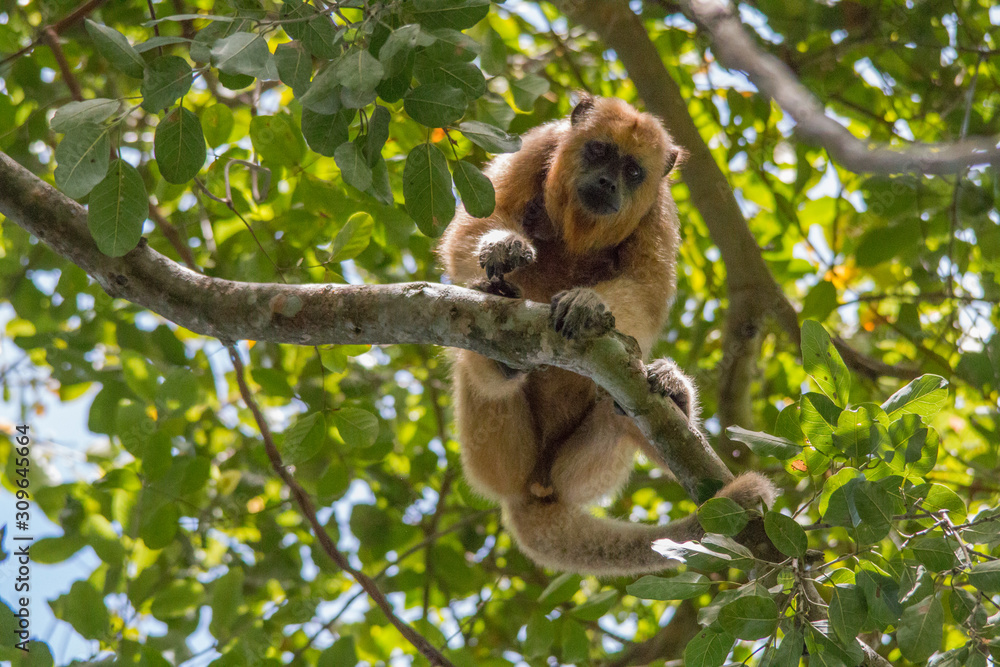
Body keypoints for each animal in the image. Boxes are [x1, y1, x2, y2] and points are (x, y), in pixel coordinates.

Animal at [438, 94, 776, 576]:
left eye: (633, 171)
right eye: (599, 151)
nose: (606, 182)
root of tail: (529, 492)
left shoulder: (659, 209)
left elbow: (645, 289)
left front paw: (586, 304)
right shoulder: (537, 146)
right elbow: (471, 227)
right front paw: (501, 247)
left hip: (585, 469)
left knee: (628, 405)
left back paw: (674, 398)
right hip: (492, 450)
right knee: (476, 361)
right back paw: (498, 359)